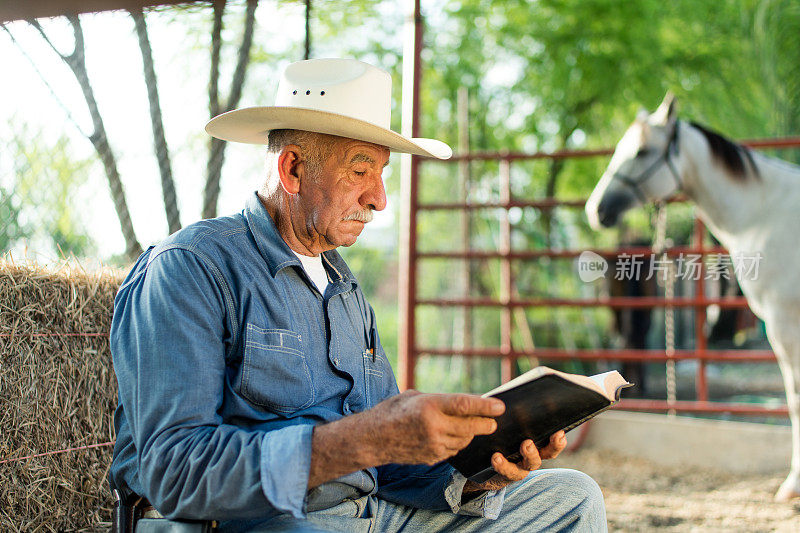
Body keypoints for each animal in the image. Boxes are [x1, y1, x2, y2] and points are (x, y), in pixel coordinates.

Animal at [580, 94, 800, 498]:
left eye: (641, 151)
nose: (595, 210)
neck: (765, 213)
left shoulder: (784, 324)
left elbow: (793, 400)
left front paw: (792, 484)